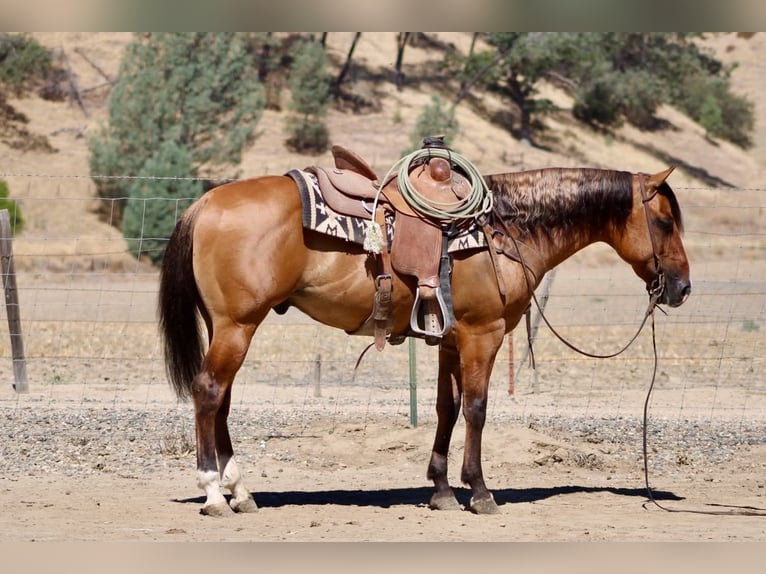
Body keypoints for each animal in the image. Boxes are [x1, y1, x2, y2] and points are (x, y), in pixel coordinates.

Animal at [158, 160, 690, 516]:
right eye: (665, 222)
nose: (683, 288)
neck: (506, 229)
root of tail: (206, 202)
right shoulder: (482, 334)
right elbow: (476, 408)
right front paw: (479, 492)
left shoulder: (451, 339)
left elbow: (446, 409)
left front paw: (441, 491)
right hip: (237, 325)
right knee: (209, 392)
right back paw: (214, 493)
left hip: (227, 326)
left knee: (221, 400)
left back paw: (241, 492)